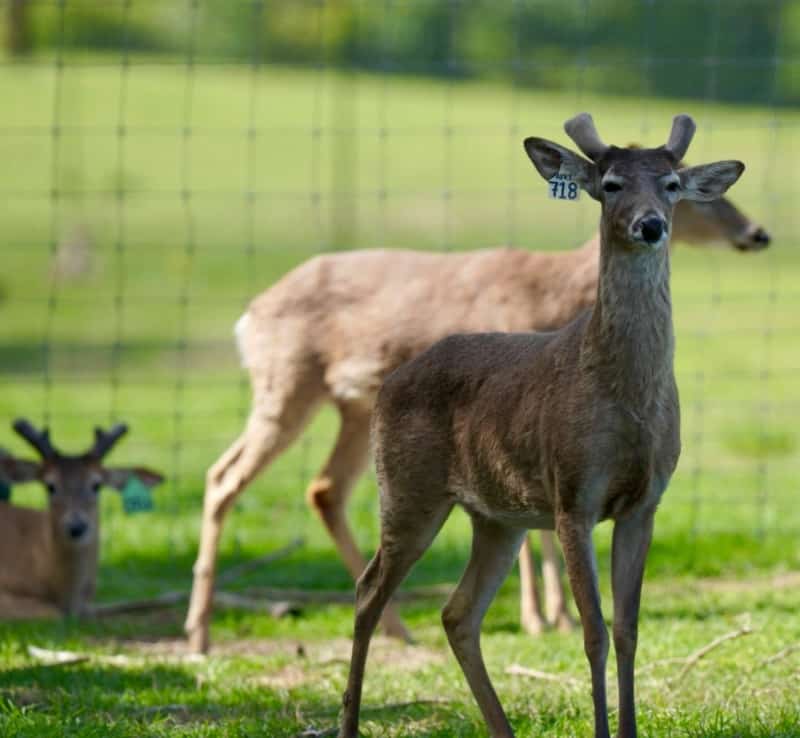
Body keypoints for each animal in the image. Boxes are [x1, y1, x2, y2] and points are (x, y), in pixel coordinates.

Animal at [183, 141, 769, 654]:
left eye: (680, 185)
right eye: (695, 194)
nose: (758, 233)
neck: (551, 298)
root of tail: (249, 315)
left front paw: (555, 615)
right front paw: (539, 618)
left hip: (350, 406)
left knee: (324, 489)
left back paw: (397, 629)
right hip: (285, 384)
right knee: (224, 477)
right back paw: (199, 636)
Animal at [337, 113, 745, 738]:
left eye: (672, 185)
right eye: (611, 185)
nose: (650, 225)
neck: (626, 397)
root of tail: (391, 381)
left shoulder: (645, 501)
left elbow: (628, 630)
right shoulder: (572, 494)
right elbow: (593, 631)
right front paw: (602, 730)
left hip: (496, 517)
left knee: (458, 612)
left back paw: (501, 728)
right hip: (407, 488)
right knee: (368, 593)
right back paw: (350, 720)